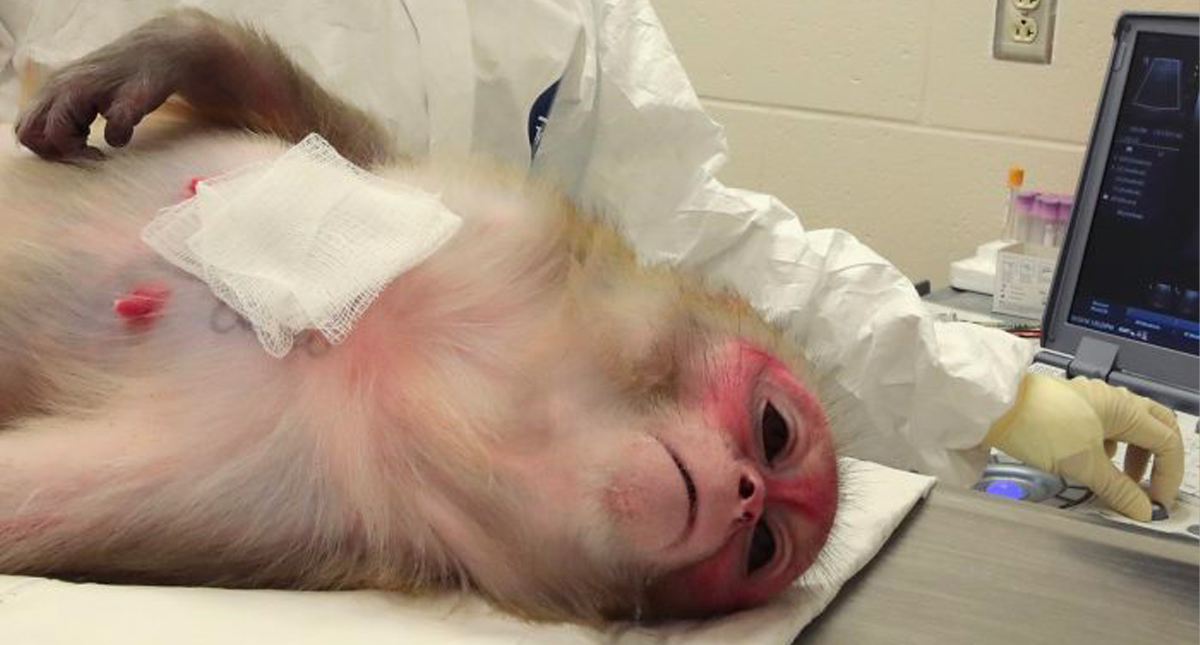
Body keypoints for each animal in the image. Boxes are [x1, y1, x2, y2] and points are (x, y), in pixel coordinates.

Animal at [0, 9, 839, 622]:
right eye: (774, 431)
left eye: (762, 547)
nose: (745, 492)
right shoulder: (482, 215)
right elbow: (325, 137)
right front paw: (169, 51)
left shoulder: (304, 508)